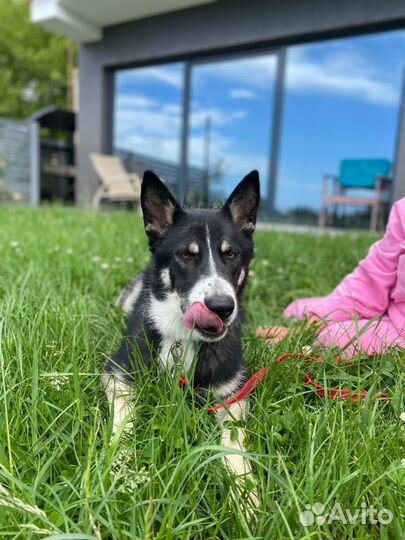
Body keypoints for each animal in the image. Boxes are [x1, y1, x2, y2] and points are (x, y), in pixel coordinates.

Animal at [102, 171, 260, 508]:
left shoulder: (234, 392)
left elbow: (233, 440)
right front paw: (120, 464)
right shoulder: (118, 373)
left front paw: (245, 494)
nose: (222, 308)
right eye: (186, 254)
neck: (184, 338)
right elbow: (124, 418)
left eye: (231, 254)